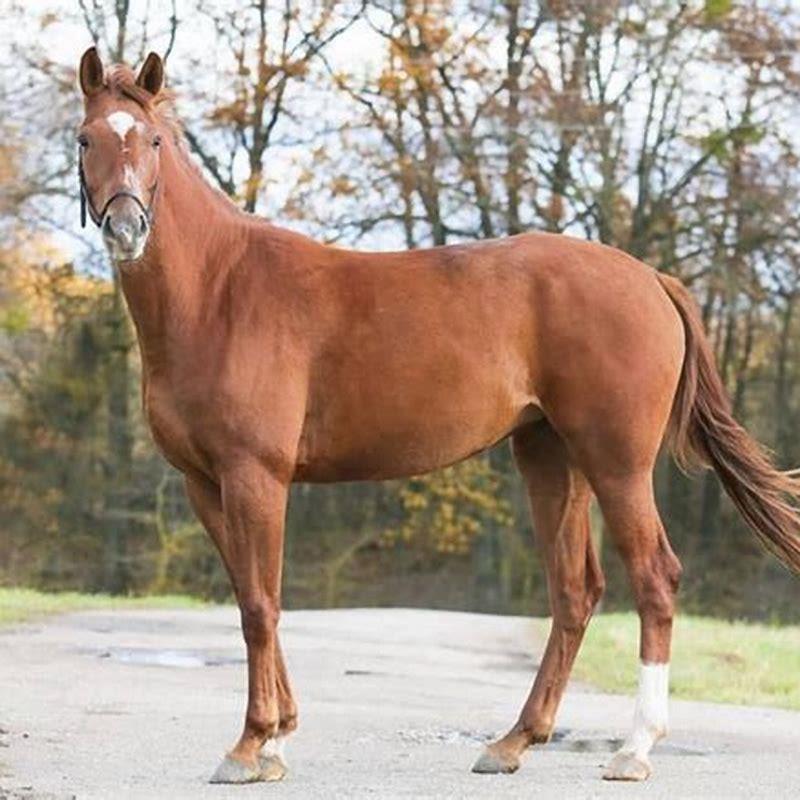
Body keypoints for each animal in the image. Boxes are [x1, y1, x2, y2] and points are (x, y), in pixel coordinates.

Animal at [75, 46, 800, 785]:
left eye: (152, 141)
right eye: (86, 139)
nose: (127, 227)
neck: (219, 290)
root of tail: (651, 279)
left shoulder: (256, 477)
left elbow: (259, 605)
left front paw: (250, 745)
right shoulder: (204, 483)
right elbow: (256, 598)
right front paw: (277, 740)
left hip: (617, 464)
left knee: (654, 577)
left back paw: (634, 748)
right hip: (551, 458)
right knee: (575, 592)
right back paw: (514, 740)